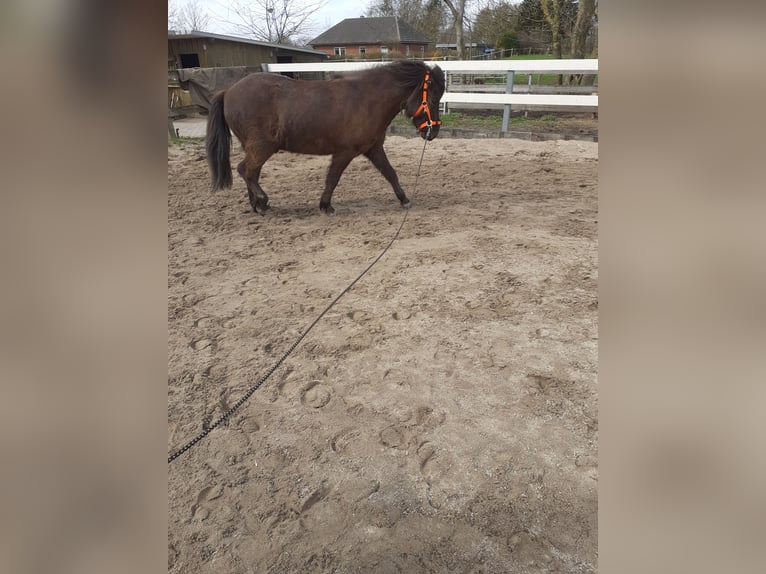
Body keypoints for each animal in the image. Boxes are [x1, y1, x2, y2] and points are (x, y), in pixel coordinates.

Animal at [206, 59, 444, 216]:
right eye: (433, 98)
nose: (432, 132)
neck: (367, 100)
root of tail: (228, 92)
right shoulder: (345, 152)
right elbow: (332, 178)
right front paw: (326, 206)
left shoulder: (373, 148)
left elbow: (390, 173)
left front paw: (404, 200)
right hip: (262, 147)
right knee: (246, 170)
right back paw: (262, 201)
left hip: (256, 148)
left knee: (251, 173)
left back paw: (257, 205)